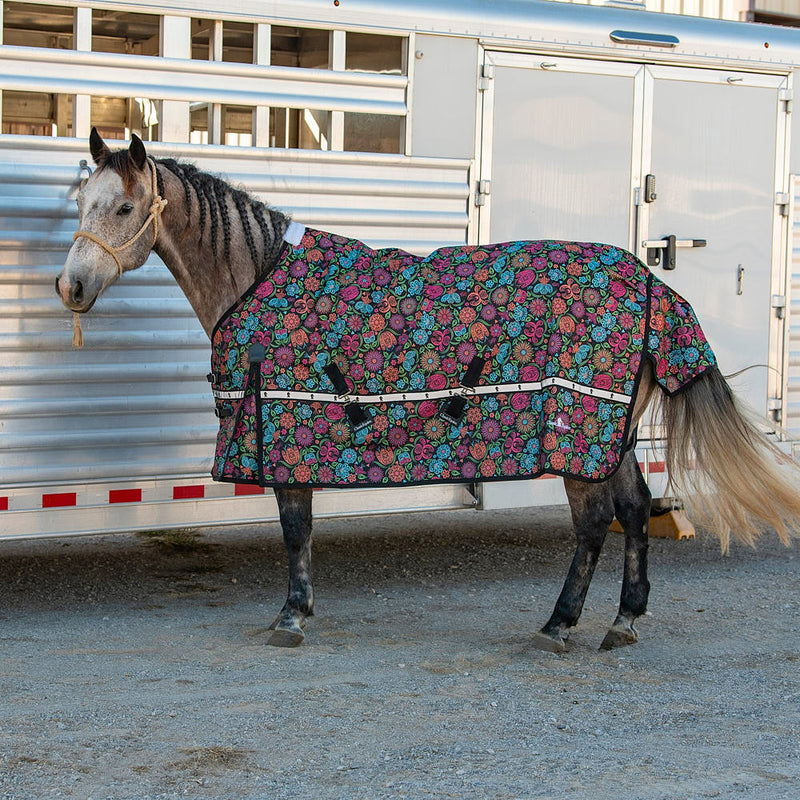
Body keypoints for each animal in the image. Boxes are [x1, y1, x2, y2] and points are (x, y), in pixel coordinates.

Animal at [56, 130, 800, 652]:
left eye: (125, 206)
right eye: (82, 204)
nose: (71, 286)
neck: (258, 275)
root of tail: (651, 286)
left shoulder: (287, 429)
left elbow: (294, 529)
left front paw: (292, 617)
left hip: (578, 434)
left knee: (593, 523)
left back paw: (559, 626)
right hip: (606, 439)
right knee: (637, 511)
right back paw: (623, 622)